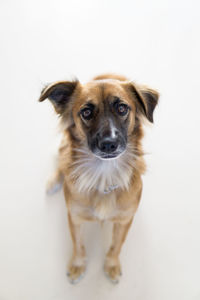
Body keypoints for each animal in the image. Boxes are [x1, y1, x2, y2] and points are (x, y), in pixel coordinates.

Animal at [38, 73, 159, 284]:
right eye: (86, 112)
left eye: (122, 108)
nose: (109, 144)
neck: (104, 175)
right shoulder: (74, 217)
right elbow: (78, 244)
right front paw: (78, 265)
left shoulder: (125, 220)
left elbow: (116, 245)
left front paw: (111, 265)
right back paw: (54, 182)